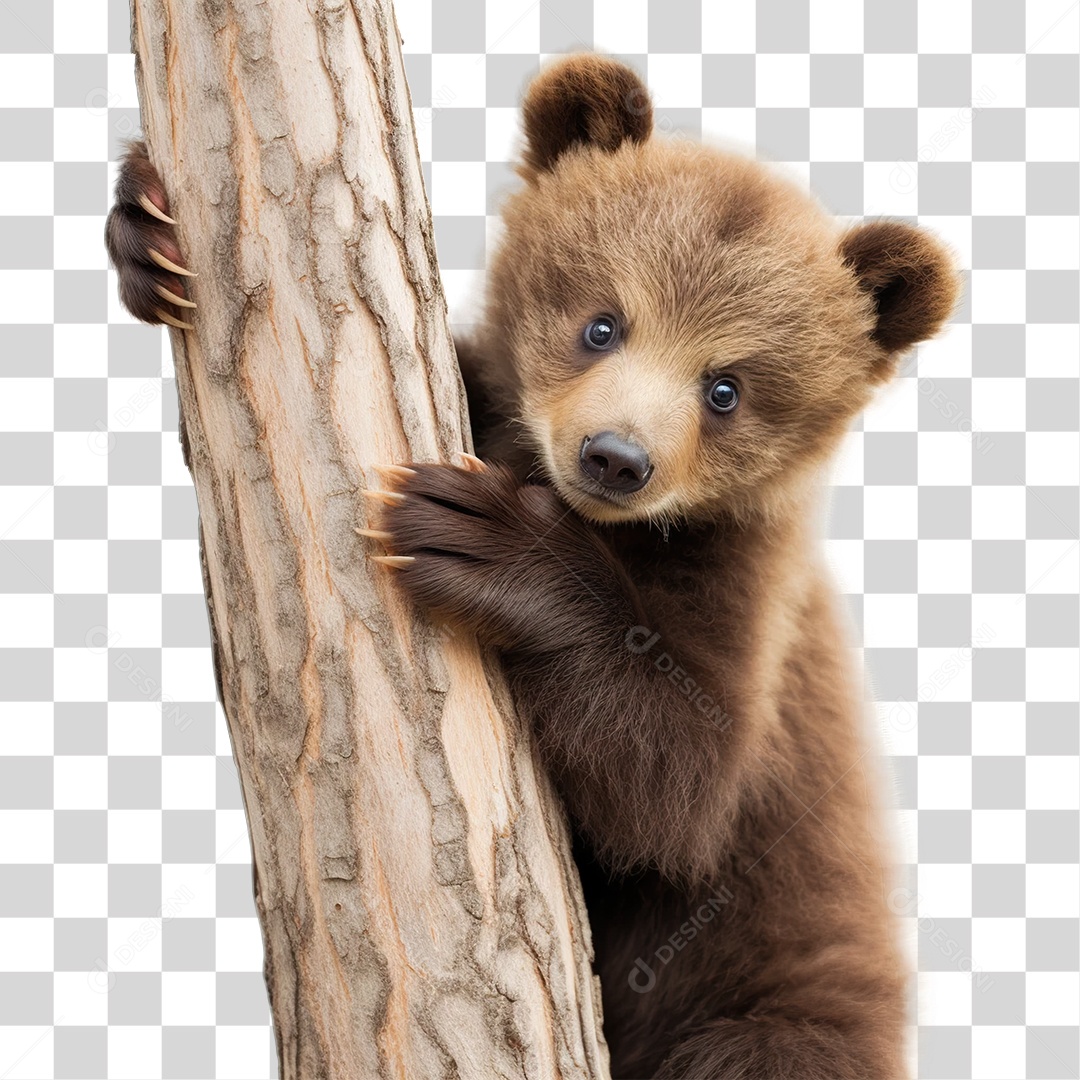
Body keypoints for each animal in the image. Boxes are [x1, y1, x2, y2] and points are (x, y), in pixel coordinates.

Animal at [106, 53, 959, 1080]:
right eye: (603, 323)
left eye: (727, 387)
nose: (616, 458)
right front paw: (144, 228)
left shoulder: (746, 598)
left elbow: (678, 783)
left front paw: (484, 537)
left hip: (779, 1006)